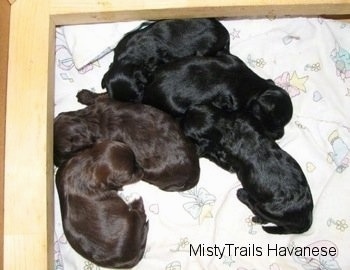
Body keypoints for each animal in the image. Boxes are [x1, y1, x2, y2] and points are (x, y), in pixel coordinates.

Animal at [53, 90, 198, 192]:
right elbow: (99, 96)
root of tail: (195, 175)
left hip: (155, 172)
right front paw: (84, 94)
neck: (91, 121)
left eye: (63, 156)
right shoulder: (104, 100)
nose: (55, 163)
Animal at [55, 140, 148, 268]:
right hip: (133, 218)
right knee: (141, 214)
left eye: (135, 159)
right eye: (130, 175)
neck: (89, 166)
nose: (142, 170)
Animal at [182, 104, 314, 233]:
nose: (179, 120)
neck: (228, 124)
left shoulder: (228, 160)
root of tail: (306, 219)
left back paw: (243, 195)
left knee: (261, 215)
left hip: (266, 209)